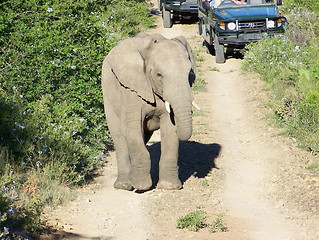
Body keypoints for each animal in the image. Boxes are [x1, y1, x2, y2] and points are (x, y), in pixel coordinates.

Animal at [102, 32, 196, 191]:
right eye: (159, 75)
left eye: (190, 73)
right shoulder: (131, 88)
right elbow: (131, 126)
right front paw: (141, 185)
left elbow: (170, 128)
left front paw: (169, 187)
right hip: (108, 95)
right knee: (120, 137)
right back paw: (124, 185)